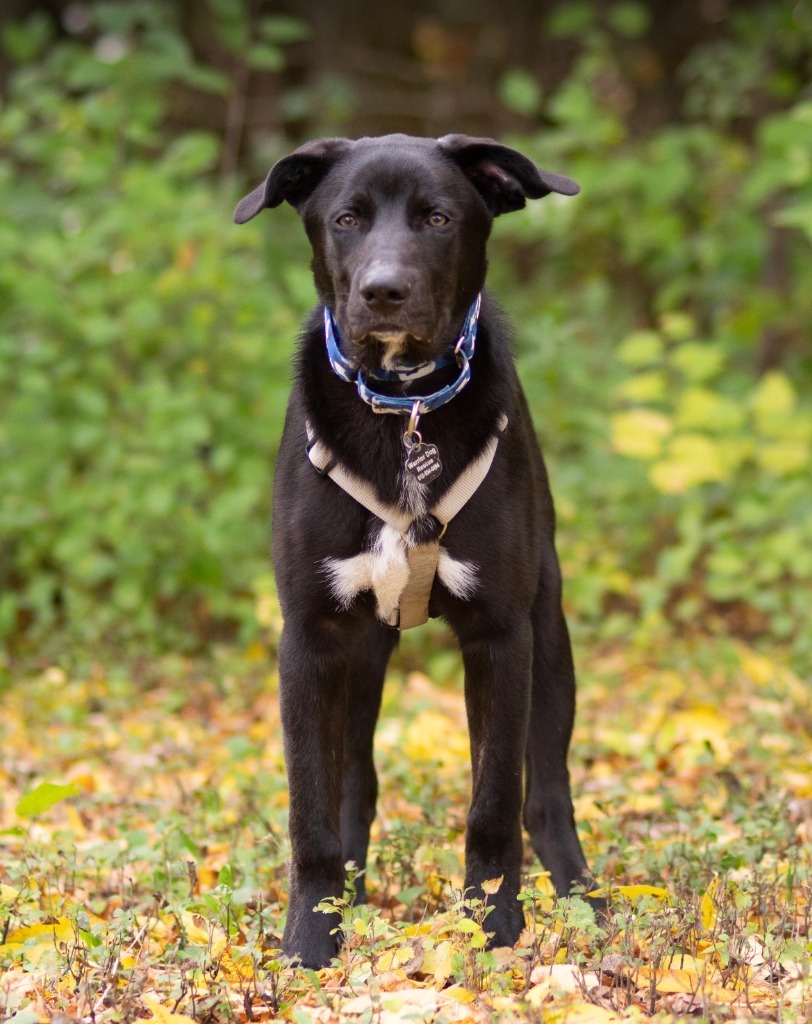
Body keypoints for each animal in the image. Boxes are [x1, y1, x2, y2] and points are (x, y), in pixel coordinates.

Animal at [234, 134, 593, 966]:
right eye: (346, 218)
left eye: (437, 217)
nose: (383, 291)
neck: (404, 409)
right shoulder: (309, 639)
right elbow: (312, 809)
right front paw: (312, 935)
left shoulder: (502, 636)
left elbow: (494, 803)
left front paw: (493, 929)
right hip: (361, 657)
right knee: (355, 784)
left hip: (550, 635)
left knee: (547, 791)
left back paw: (582, 897)